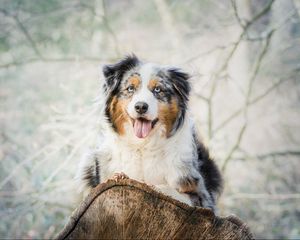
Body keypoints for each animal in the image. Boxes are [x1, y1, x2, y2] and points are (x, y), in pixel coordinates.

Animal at [77, 54, 223, 212]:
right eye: (130, 88)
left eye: (158, 89)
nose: (141, 106)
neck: (143, 145)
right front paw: (120, 175)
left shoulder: (201, 196)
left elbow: (171, 191)